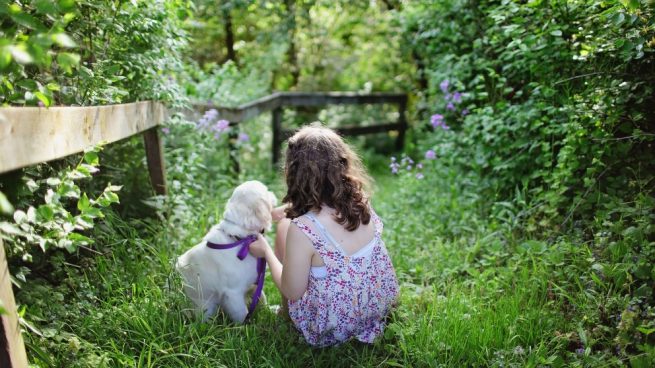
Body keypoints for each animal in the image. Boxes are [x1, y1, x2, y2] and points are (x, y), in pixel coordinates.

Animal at [176, 180, 276, 322]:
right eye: (266, 191)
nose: (273, 193)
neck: (240, 239)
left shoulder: (255, 282)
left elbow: (262, 297)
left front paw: (270, 311)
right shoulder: (233, 293)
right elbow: (242, 314)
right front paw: (247, 326)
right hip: (206, 307)